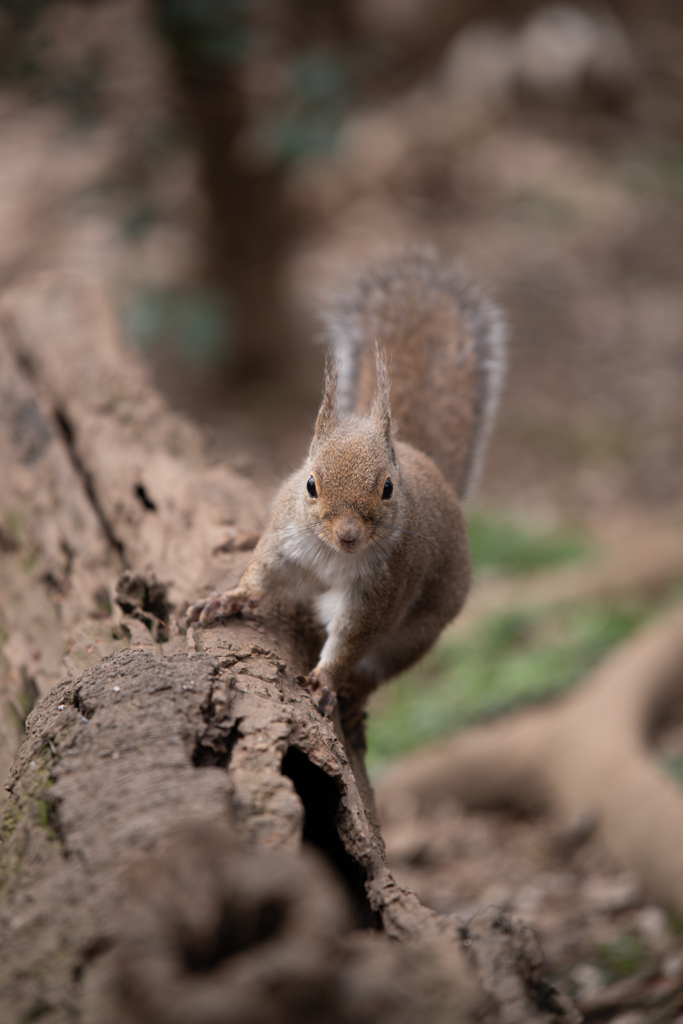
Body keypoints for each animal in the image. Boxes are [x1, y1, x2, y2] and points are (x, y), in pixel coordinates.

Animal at [188, 247, 507, 745]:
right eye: (310, 484)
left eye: (388, 488)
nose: (349, 534)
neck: (330, 554)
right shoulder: (283, 540)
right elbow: (259, 576)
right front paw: (230, 598)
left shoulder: (381, 593)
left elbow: (351, 642)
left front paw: (325, 680)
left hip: (415, 635)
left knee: (378, 668)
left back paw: (356, 695)